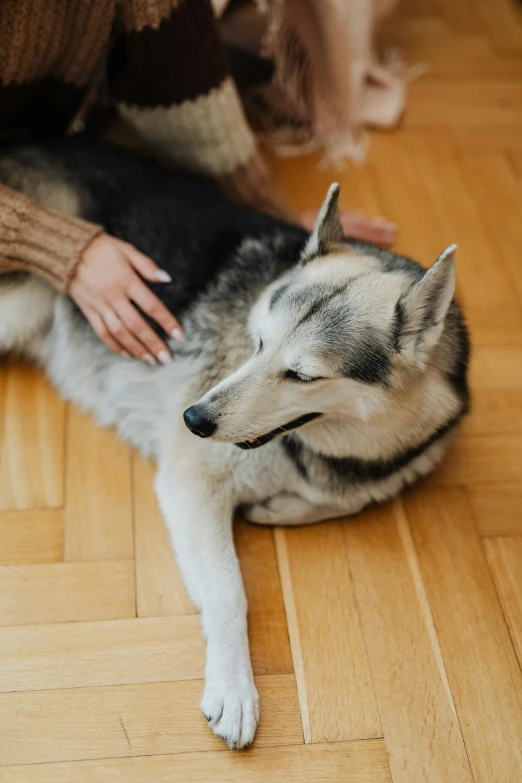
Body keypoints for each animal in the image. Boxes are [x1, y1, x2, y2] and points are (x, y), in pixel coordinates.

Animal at [0, 138, 468, 752]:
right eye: (258, 343)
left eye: (302, 376)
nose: (192, 418)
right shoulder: (190, 480)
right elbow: (229, 591)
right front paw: (233, 683)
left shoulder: (400, 460)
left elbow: (353, 495)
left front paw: (284, 507)